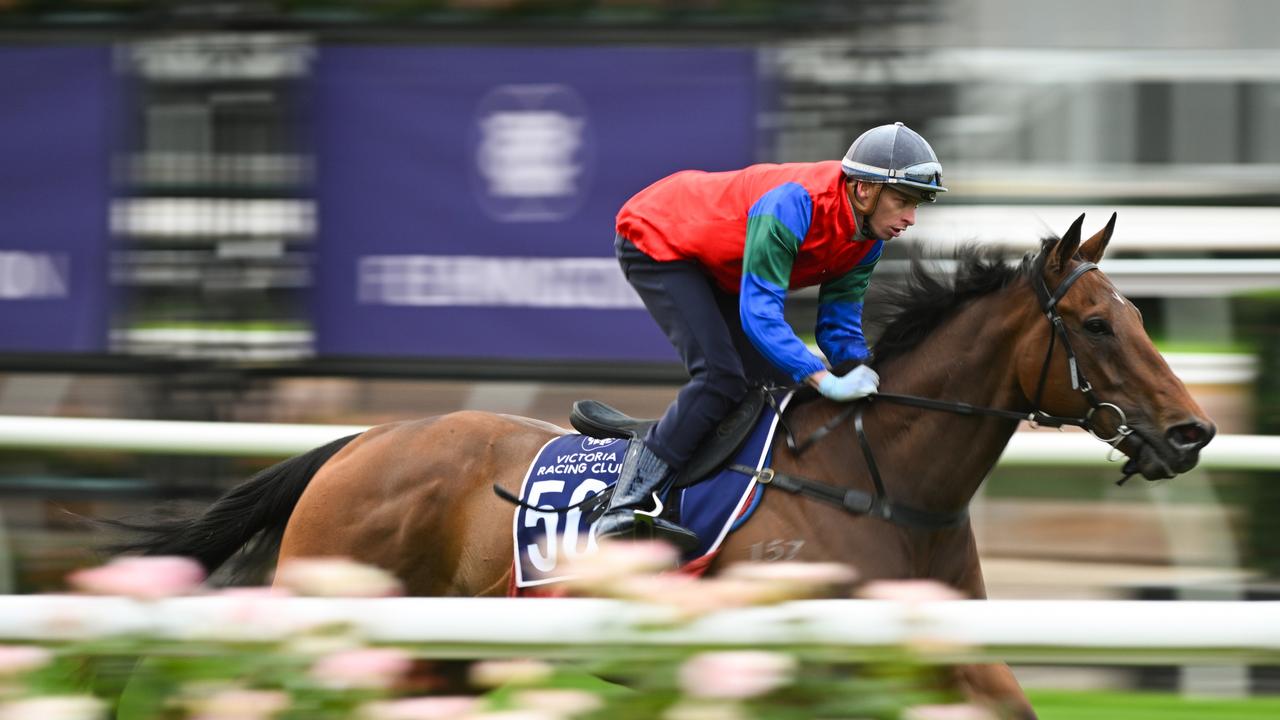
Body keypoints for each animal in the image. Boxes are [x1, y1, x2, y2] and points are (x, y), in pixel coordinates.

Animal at [110, 213, 1208, 717]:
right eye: (1098, 325)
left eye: (1141, 314)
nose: (1192, 432)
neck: (877, 480)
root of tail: (359, 444)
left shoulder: (948, 656)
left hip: (444, 652)